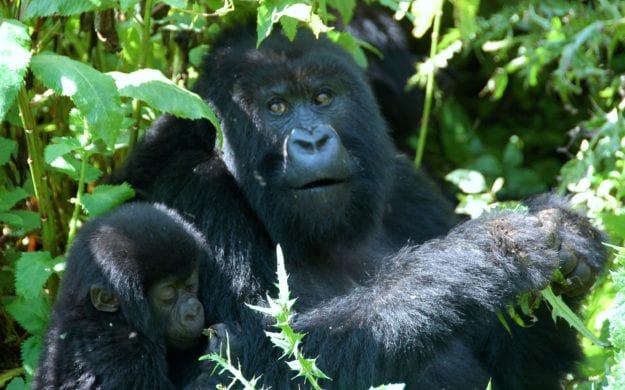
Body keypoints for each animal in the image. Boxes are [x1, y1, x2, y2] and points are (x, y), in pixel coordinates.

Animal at [116, 25, 604, 388]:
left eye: (323, 98)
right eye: (276, 107)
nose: (313, 140)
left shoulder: (407, 188)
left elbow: (518, 375)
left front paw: (568, 237)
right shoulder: (190, 192)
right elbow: (228, 366)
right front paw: (476, 257)